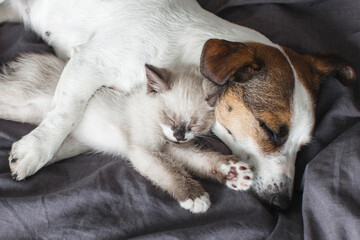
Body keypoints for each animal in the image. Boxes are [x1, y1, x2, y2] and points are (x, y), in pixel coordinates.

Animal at [0, 53, 253, 213]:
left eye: (194, 124)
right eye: (169, 117)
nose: (179, 136)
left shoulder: (171, 148)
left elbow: (203, 160)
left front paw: (234, 173)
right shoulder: (144, 151)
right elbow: (171, 171)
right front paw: (196, 197)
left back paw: (16, 164)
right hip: (19, 99)